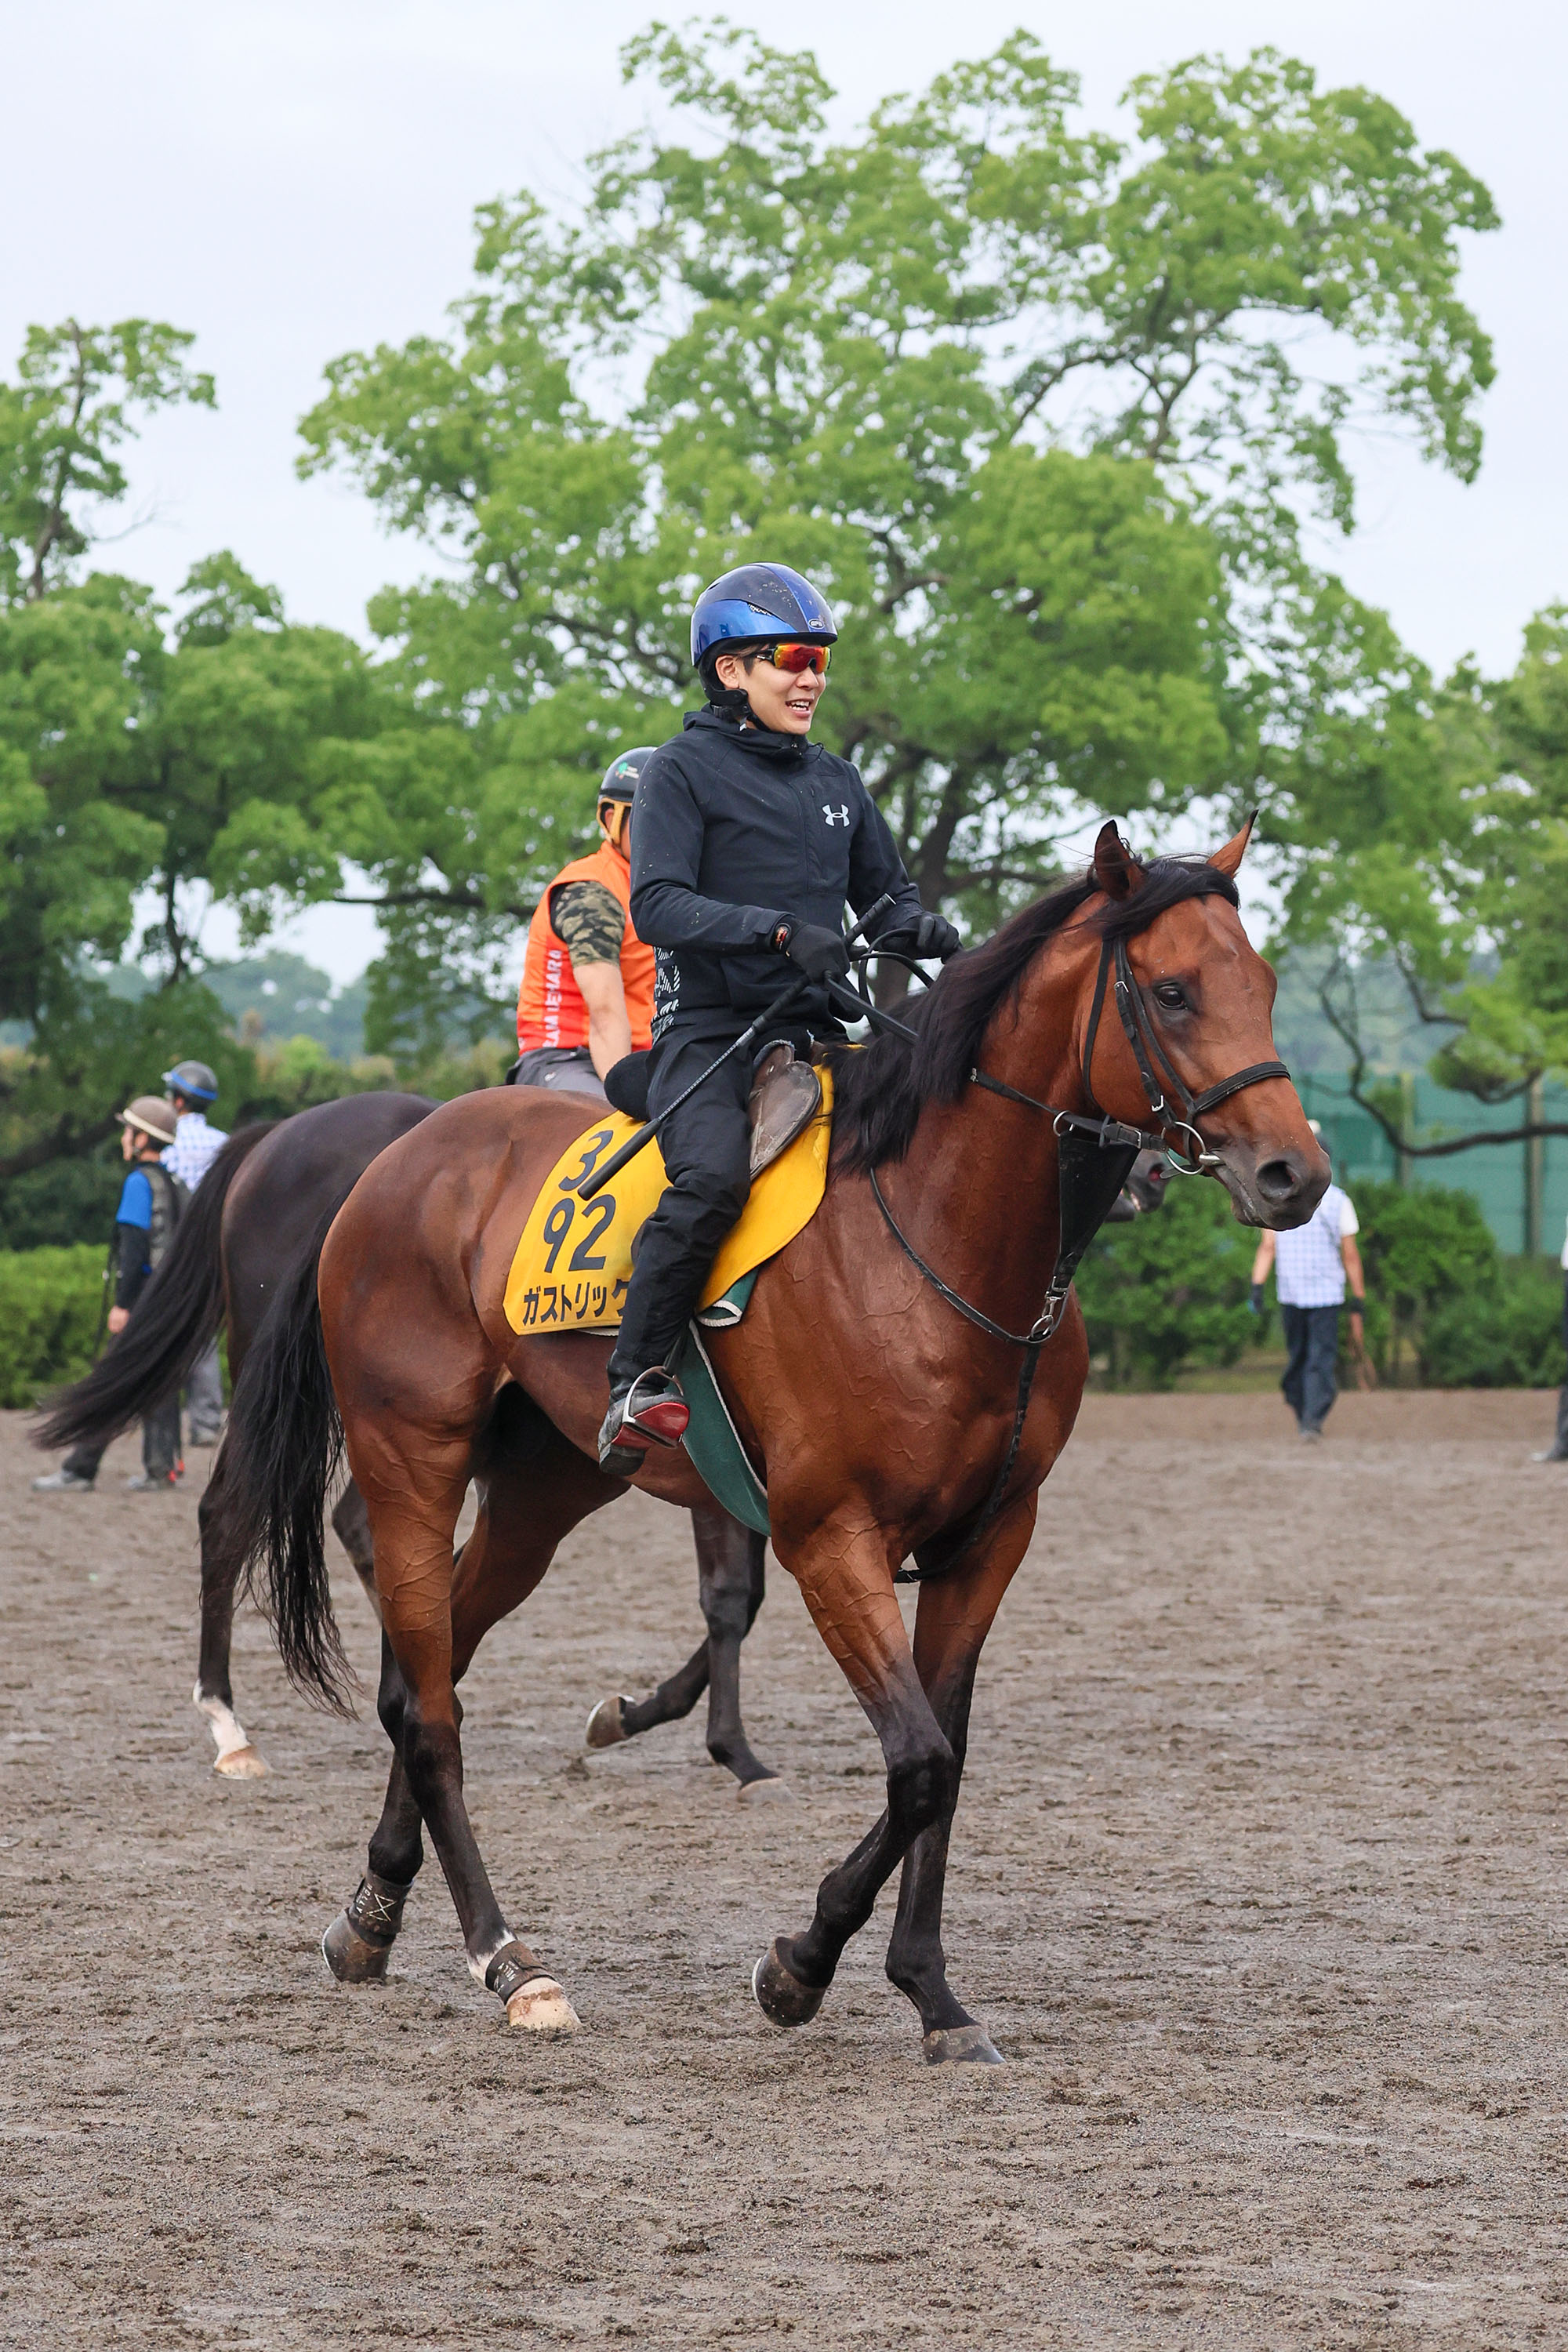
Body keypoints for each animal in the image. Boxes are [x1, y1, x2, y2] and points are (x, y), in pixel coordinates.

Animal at [44, 1091, 785, 1788]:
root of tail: (278, 1136)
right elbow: (730, 1598)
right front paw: (730, 1747)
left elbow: (745, 1597)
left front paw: (637, 1714)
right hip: (285, 1380)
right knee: (230, 1511)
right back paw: (233, 1727)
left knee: (359, 1528)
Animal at [220, 828, 1326, 2060]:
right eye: (1173, 992)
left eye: (1262, 983)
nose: (1294, 1173)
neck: (933, 1236)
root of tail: (394, 1155)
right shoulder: (829, 1538)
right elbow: (915, 1761)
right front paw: (799, 1963)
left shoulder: (987, 1541)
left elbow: (943, 1765)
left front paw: (931, 1996)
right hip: (411, 1454)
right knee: (429, 1702)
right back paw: (508, 1959)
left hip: (545, 1489)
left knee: (430, 1673)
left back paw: (371, 1915)